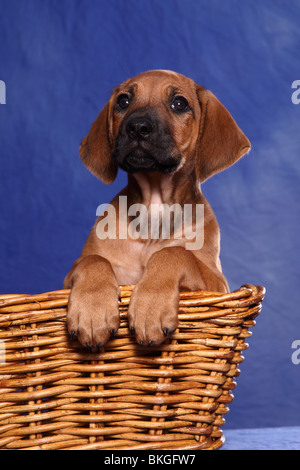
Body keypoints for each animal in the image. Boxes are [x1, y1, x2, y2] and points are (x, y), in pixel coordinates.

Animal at [63, 69, 251, 348]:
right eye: (123, 101)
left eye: (179, 104)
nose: (137, 127)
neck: (153, 210)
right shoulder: (67, 280)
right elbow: (92, 259)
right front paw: (92, 309)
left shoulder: (218, 284)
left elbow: (173, 253)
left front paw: (150, 306)